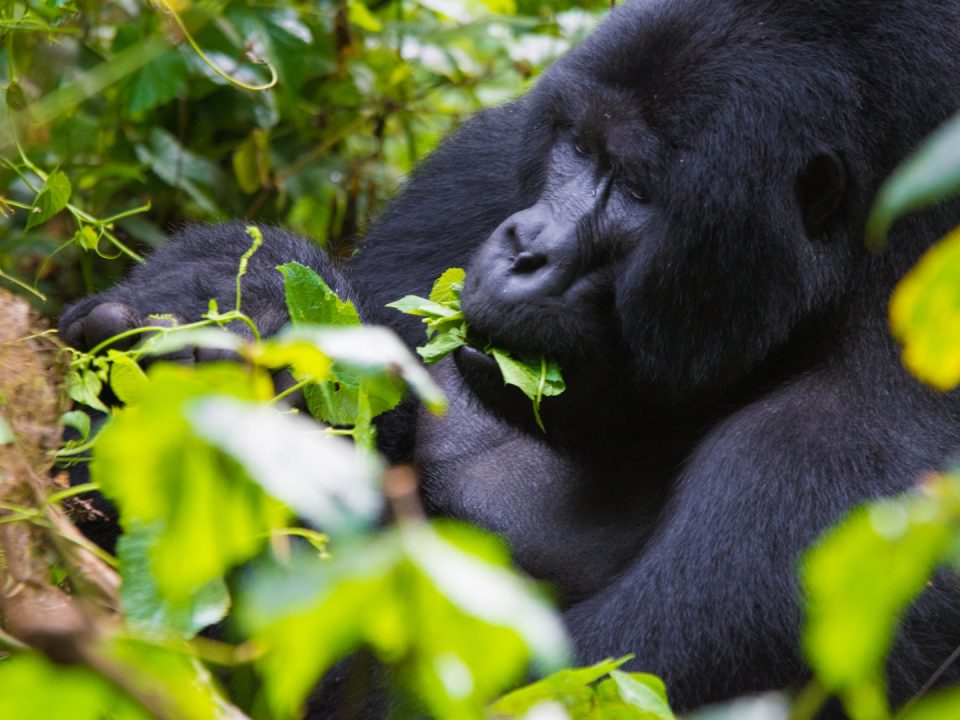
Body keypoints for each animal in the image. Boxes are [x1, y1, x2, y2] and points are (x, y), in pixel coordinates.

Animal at [56, 0, 960, 712]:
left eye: (636, 189)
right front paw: (232, 297)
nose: (526, 248)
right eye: (578, 147)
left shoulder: (854, 473)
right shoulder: (487, 157)